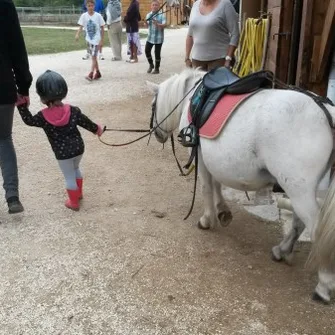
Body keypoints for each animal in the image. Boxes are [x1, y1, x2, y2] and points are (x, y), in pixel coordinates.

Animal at [148, 68, 335, 304]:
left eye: (153, 105)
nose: (156, 134)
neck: (192, 97)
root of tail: (326, 111)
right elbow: (217, 185)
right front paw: (223, 211)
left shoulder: (201, 157)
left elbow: (207, 188)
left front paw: (207, 220)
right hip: (303, 190)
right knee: (299, 223)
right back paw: (281, 250)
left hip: (300, 191)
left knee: (315, 228)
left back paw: (324, 285)